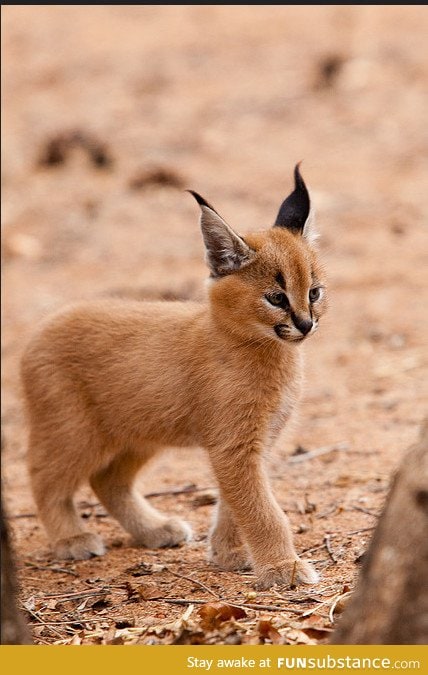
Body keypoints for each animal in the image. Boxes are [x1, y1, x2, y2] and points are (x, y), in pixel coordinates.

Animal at [20, 166, 326, 588]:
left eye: (314, 292)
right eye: (276, 298)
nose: (306, 324)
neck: (268, 352)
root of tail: (46, 323)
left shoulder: (256, 440)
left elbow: (236, 502)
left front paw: (228, 554)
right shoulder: (235, 444)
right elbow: (261, 508)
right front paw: (284, 567)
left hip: (139, 429)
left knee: (107, 480)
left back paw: (154, 529)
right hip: (74, 430)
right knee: (43, 477)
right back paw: (71, 539)